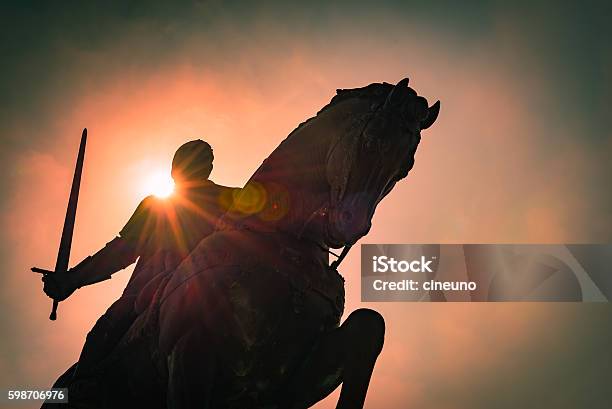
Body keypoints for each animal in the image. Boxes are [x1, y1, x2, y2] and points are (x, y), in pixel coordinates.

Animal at [58, 77, 440, 408]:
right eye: (372, 141)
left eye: (405, 167)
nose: (351, 225)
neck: (283, 245)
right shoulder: (191, 350)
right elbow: (125, 245)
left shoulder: (283, 384)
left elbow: (368, 325)